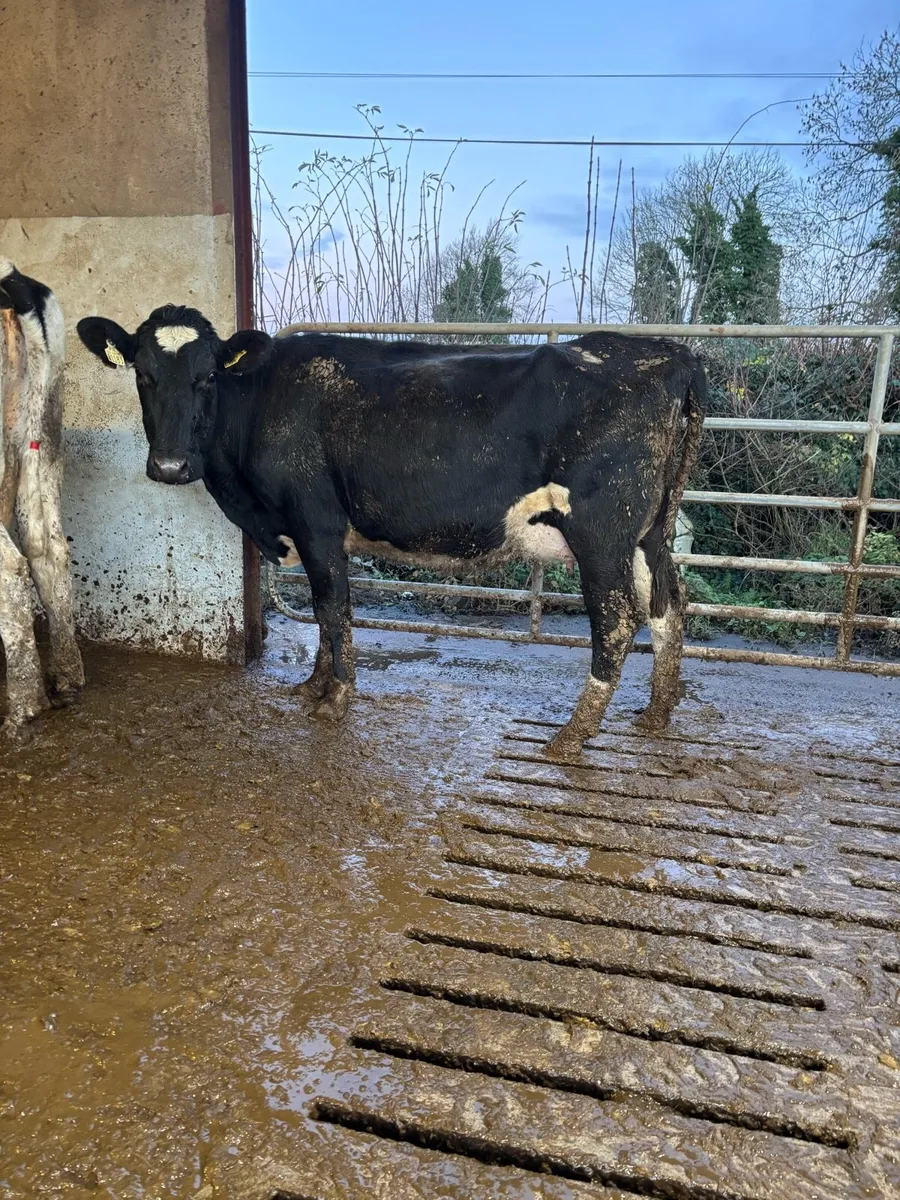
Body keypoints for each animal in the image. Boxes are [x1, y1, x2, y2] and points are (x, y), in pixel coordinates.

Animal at [76, 305, 705, 758]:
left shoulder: (316, 522)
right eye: (142, 374)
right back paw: (656, 713)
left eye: (207, 376)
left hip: (602, 531)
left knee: (618, 619)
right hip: (649, 532)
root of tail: (668, 352)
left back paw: (573, 734)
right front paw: (314, 683)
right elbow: (326, 610)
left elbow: (333, 608)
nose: (171, 466)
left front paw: (336, 696)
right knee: (668, 605)